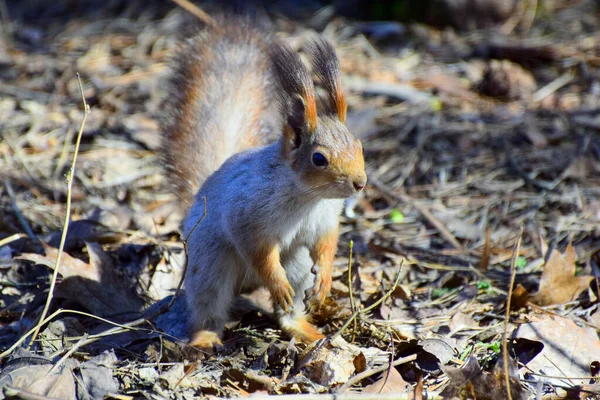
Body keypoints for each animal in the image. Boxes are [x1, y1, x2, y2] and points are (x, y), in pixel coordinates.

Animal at [159, 18, 366, 350]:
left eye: (359, 146)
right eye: (319, 158)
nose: (360, 183)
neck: (308, 198)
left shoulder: (324, 220)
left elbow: (326, 244)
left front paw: (324, 282)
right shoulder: (247, 213)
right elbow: (258, 251)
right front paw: (277, 284)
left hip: (296, 263)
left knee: (288, 310)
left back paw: (303, 329)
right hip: (210, 263)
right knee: (209, 305)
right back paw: (205, 337)